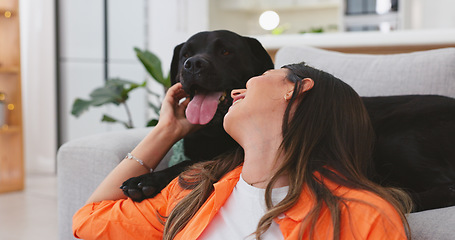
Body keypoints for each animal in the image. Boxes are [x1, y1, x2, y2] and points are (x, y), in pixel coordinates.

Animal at [121, 30, 274, 201]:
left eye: (225, 51)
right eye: (186, 54)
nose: (193, 63)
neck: (215, 130)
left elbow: (187, 164)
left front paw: (146, 179)